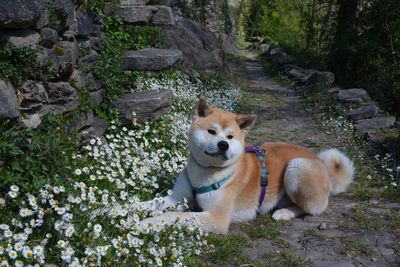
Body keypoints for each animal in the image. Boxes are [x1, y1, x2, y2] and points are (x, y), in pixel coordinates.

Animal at [142, 99, 354, 234]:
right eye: (211, 131)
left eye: (230, 136)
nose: (223, 145)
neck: (205, 172)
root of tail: (323, 166)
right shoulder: (176, 198)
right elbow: (151, 204)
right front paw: (134, 211)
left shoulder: (217, 218)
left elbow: (172, 215)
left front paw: (148, 223)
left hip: (297, 167)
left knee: (311, 209)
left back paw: (284, 213)